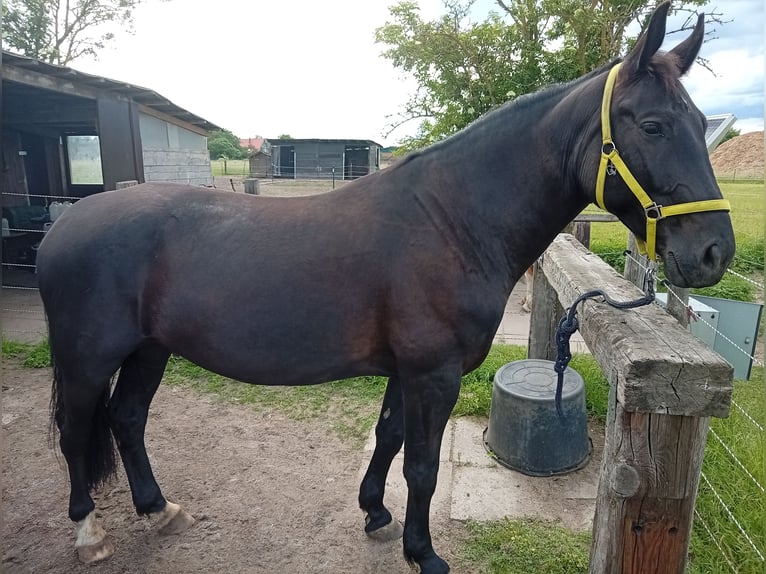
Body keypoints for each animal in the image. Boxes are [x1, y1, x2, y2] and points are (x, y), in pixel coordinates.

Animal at [37, 4, 734, 572]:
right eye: (652, 125)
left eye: (701, 121)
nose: (713, 252)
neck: (451, 221)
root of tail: (64, 223)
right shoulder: (434, 373)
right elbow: (420, 467)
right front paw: (423, 553)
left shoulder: (407, 372)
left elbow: (389, 439)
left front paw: (375, 512)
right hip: (87, 357)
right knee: (76, 432)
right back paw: (89, 535)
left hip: (149, 350)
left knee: (127, 420)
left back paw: (159, 510)